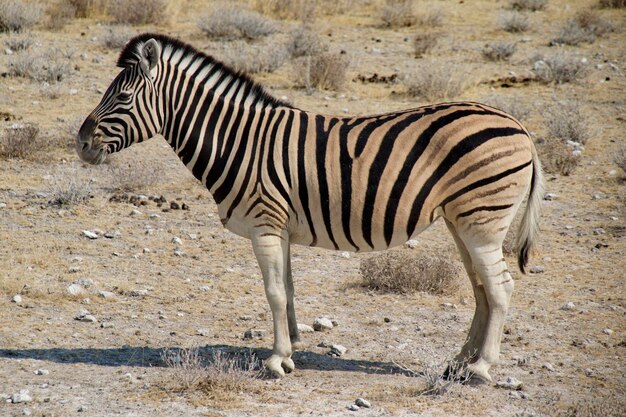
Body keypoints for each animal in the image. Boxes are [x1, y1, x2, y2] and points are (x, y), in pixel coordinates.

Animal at [77, 34, 540, 382]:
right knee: (481, 289)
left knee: (501, 288)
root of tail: (520, 126)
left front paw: (276, 361)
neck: (237, 141)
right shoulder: (278, 227)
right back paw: (459, 362)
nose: (79, 143)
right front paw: (291, 348)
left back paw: (480, 369)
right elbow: (288, 289)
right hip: (463, 223)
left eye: (122, 97)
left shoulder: (264, 224)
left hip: (482, 222)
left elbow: (274, 292)